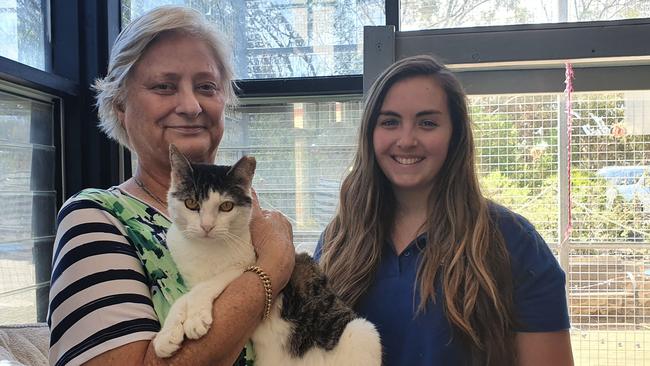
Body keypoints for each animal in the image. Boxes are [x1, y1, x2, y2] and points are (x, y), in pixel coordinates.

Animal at [153, 145, 382, 366]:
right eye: (191, 203)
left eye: (226, 206)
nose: (206, 226)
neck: (206, 248)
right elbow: (185, 297)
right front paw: (166, 335)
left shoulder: (246, 263)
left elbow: (207, 286)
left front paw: (194, 318)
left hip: (363, 332)